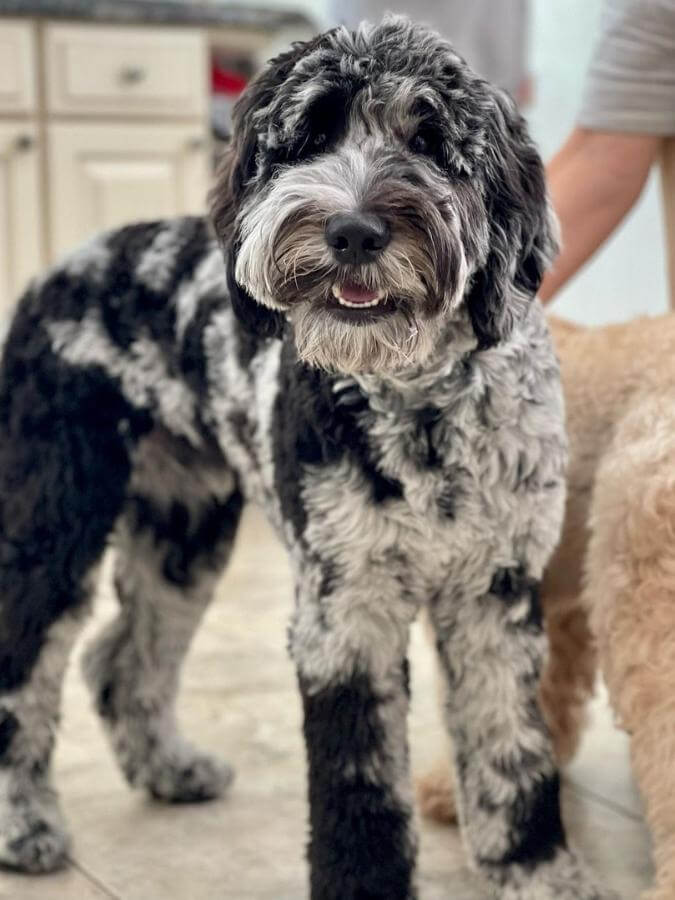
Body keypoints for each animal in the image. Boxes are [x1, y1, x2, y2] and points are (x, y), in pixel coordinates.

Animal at [0, 17, 612, 900]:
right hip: (55, 514)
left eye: (430, 141)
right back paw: (26, 824)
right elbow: (359, 783)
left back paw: (170, 768)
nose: (352, 230)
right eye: (309, 137)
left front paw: (537, 872)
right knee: (25, 666)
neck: (421, 404)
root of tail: (57, 269)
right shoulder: (344, 609)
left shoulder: (495, 596)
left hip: (183, 531)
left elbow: (512, 750)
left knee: (123, 661)